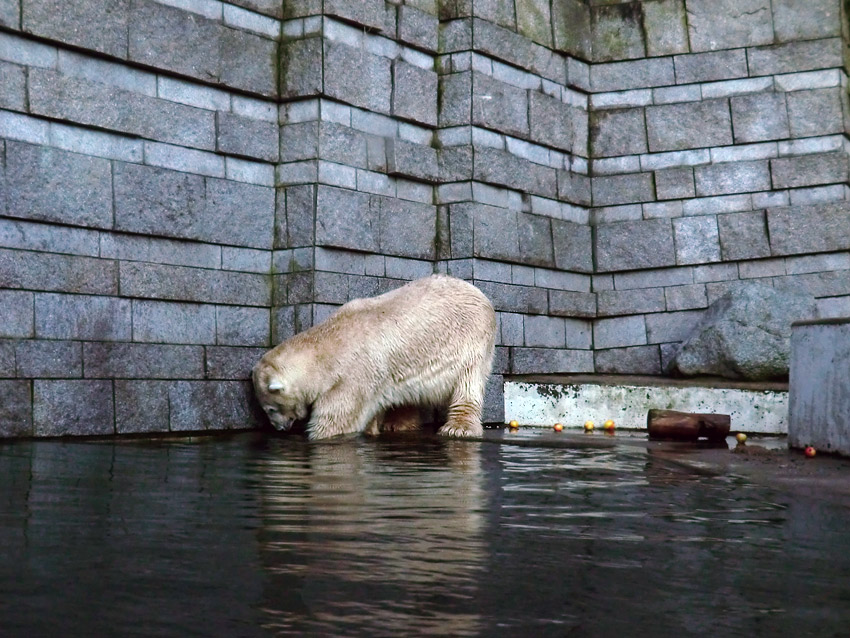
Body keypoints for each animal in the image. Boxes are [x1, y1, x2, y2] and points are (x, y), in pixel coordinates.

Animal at [250, 278, 496, 442]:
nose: (279, 428)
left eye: (270, 409)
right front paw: (374, 428)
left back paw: (458, 428)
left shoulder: (353, 375)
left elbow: (339, 418)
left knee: (468, 383)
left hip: (471, 343)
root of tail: (479, 293)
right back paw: (396, 424)